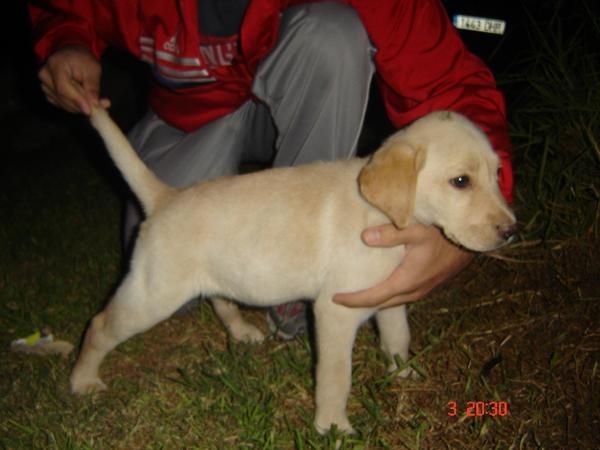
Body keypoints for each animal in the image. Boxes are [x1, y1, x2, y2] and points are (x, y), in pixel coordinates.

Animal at [70, 108, 516, 432]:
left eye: (497, 173)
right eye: (460, 181)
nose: (511, 230)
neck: (383, 213)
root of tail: (165, 197)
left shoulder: (391, 298)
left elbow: (397, 337)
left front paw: (402, 371)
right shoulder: (336, 312)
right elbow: (336, 376)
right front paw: (332, 426)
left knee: (220, 300)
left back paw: (242, 331)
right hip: (153, 294)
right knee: (100, 325)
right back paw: (82, 380)